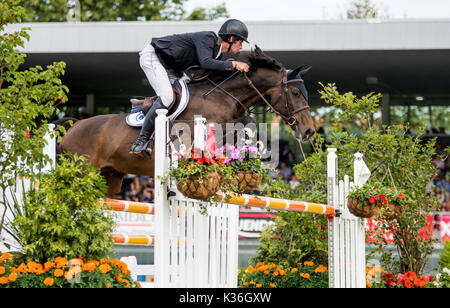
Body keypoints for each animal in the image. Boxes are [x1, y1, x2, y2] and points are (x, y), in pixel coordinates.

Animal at [59, 45, 312, 195]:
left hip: (110, 177)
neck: (221, 97)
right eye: (296, 93)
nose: (309, 131)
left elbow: (246, 125)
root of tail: (73, 127)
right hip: (82, 174)